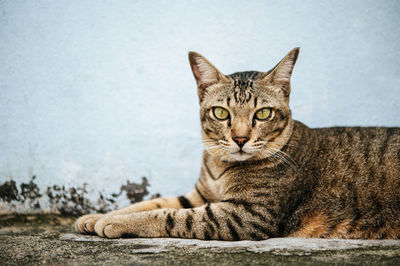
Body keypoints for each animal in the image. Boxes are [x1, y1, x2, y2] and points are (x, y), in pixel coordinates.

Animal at [75, 48, 400, 240]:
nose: (241, 139)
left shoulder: (248, 214)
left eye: (263, 113)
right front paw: (98, 216)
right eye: (221, 113)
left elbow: (171, 216)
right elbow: (153, 202)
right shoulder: (200, 195)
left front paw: (116, 223)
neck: (220, 166)